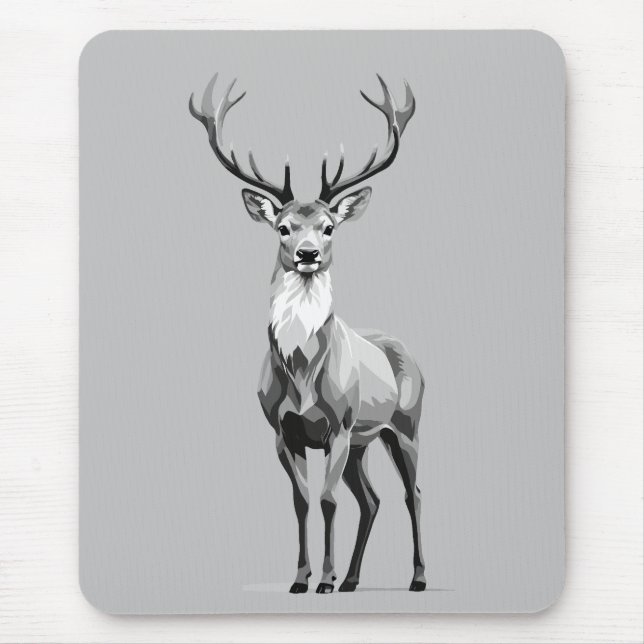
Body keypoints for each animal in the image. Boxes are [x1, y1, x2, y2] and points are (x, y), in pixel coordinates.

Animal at [189, 73, 426, 594]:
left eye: (329, 225)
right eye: (282, 227)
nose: (307, 253)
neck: (302, 374)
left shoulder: (339, 424)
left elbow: (327, 500)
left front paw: (325, 579)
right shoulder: (283, 431)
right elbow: (300, 502)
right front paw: (301, 578)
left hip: (404, 424)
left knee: (412, 492)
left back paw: (417, 577)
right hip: (363, 443)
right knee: (372, 499)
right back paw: (355, 580)